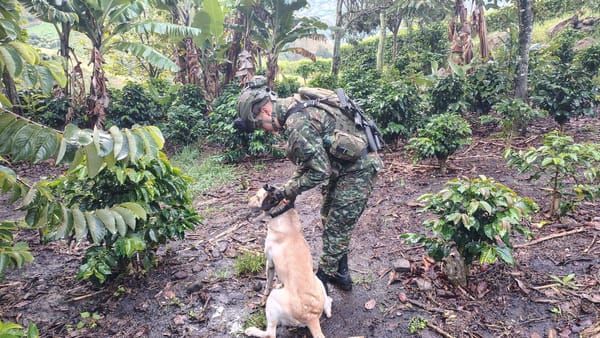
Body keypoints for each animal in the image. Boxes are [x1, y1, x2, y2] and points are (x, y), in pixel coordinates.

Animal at [246, 185, 336, 338]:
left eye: (258, 197)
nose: (247, 201)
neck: (283, 213)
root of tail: (311, 317)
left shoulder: (269, 263)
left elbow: (268, 284)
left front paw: (263, 298)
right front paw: (279, 283)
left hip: (273, 300)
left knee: (270, 333)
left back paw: (251, 330)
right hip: (317, 279)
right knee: (327, 303)